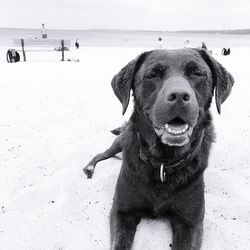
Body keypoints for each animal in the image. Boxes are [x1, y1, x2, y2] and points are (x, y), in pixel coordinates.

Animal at [84, 48, 234, 248]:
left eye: (197, 73)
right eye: (152, 75)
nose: (179, 95)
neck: (163, 163)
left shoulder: (191, 223)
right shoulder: (122, 212)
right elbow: (119, 242)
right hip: (118, 143)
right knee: (101, 154)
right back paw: (89, 168)